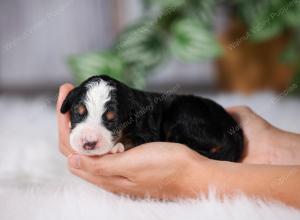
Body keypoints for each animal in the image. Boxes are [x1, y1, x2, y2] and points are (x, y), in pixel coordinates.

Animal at [61, 75, 244, 162]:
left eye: (113, 120)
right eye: (78, 112)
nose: (88, 143)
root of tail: (234, 130)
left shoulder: (147, 133)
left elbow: (133, 138)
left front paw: (118, 146)